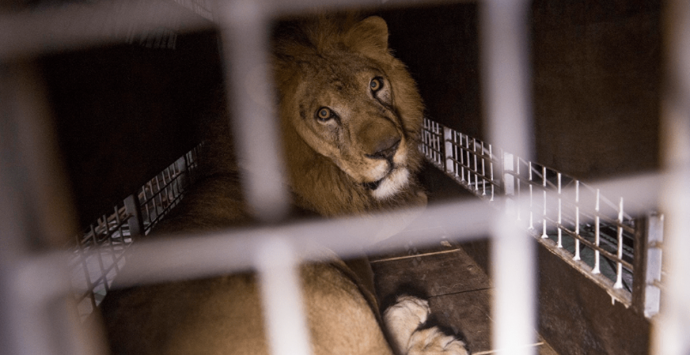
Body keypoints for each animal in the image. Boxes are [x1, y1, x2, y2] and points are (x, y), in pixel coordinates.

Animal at [98, 14, 468, 355]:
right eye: (324, 114)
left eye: (375, 84)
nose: (389, 149)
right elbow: (415, 202)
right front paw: (419, 192)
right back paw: (424, 328)